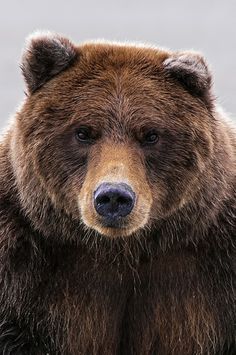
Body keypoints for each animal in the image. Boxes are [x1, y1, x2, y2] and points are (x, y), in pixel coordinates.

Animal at [0, 31, 235, 355]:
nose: (113, 196)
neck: (122, 250)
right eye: (83, 132)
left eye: (150, 135)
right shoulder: (21, 265)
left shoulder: (215, 274)